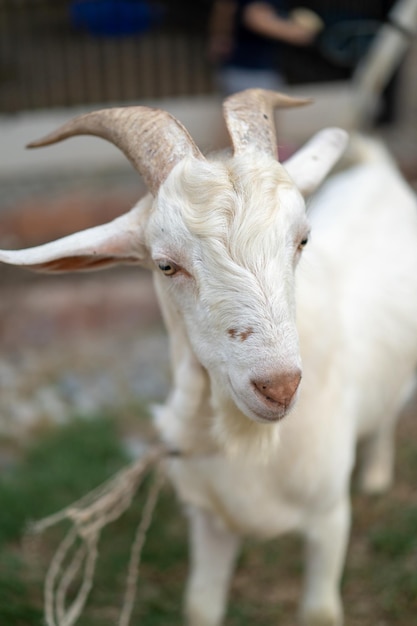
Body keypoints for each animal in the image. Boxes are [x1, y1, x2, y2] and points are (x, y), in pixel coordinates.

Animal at [0, 89, 416, 624]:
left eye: (302, 239)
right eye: (165, 264)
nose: (278, 386)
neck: (250, 442)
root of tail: (380, 171)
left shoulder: (329, 517)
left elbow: (320, 612)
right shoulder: (208, 519)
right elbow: (200, 604)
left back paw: (378, 476)